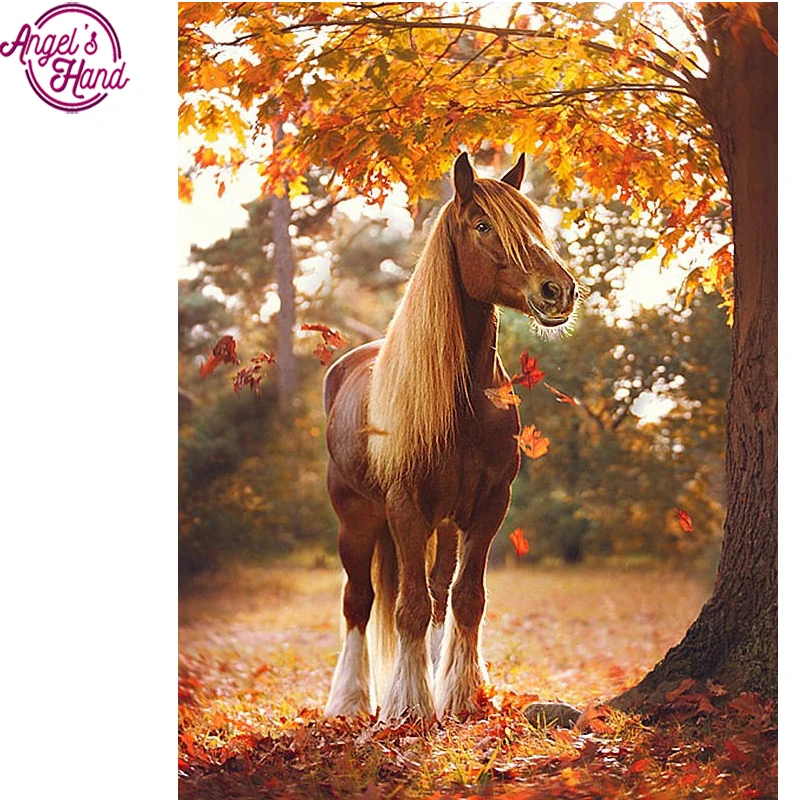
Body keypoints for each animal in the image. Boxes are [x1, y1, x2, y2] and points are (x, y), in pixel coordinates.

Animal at [323, 152, 577, 721]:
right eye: (483, 225)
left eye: (534, 223)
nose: (558, 290)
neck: (465, 404)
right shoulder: (405, 506)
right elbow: (409, 607)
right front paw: (409, 706)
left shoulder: (488, 505)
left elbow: (465, 597)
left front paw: (459, 695)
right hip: (357, 518)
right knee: (358, 602)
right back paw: (348, 701)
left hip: (441, 522)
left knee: (439, 592)